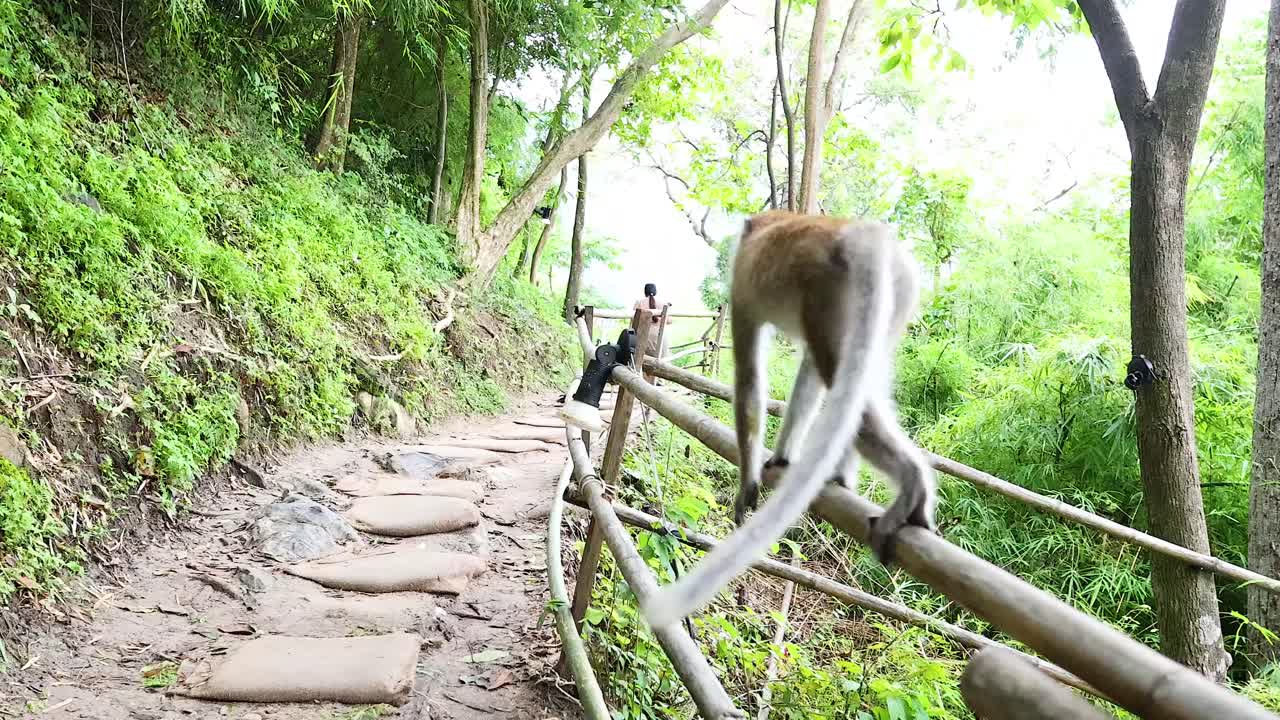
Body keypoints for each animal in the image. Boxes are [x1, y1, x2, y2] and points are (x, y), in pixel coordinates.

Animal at [643, 210, 937, 629]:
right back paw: (848, 475)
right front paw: (782, 457)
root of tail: (861, 236)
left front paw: (747, 482)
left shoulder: (742, 288)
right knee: (849, 377)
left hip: (828, 290)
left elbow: (750, 381)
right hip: (893, 296)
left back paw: (911, 482)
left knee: (837, 373)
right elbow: (809, 373)